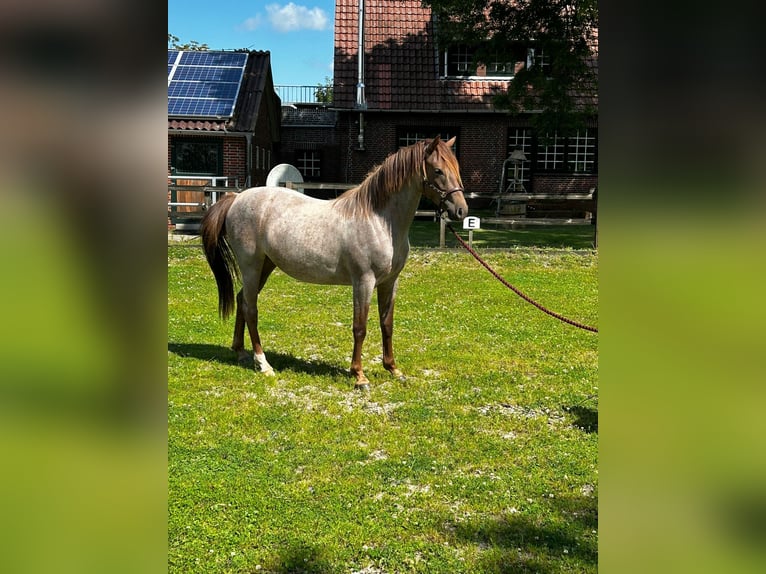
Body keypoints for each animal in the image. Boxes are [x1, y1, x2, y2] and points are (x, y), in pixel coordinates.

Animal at [200, 135, 468, 392]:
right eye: (438, 171)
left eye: (456, 167)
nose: (461, 210)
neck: (379, 220)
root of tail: (236, 197)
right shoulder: (363, 282)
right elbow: (360, 327)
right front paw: (359, 376)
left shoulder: (390, 282)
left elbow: (387, 324)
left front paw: (393, 369)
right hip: (251, 266)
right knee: (251, 309)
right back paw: (263, 363)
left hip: (265, 266)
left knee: (242, 300)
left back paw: (241, 353)